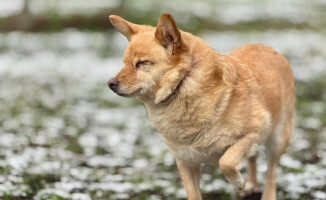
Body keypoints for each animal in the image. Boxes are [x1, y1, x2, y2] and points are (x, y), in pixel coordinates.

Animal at [107, 13, 296, 199]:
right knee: (253, 157)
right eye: (125, 63)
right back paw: (251, 184)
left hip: (277, 140)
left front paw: (237, 183)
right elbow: (194, 193)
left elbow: (225, 161)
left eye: (141, 63)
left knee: (271, 173)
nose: (110, 84)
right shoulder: (186, 162)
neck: (182, 85)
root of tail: (270, 49)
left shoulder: (254, 133)